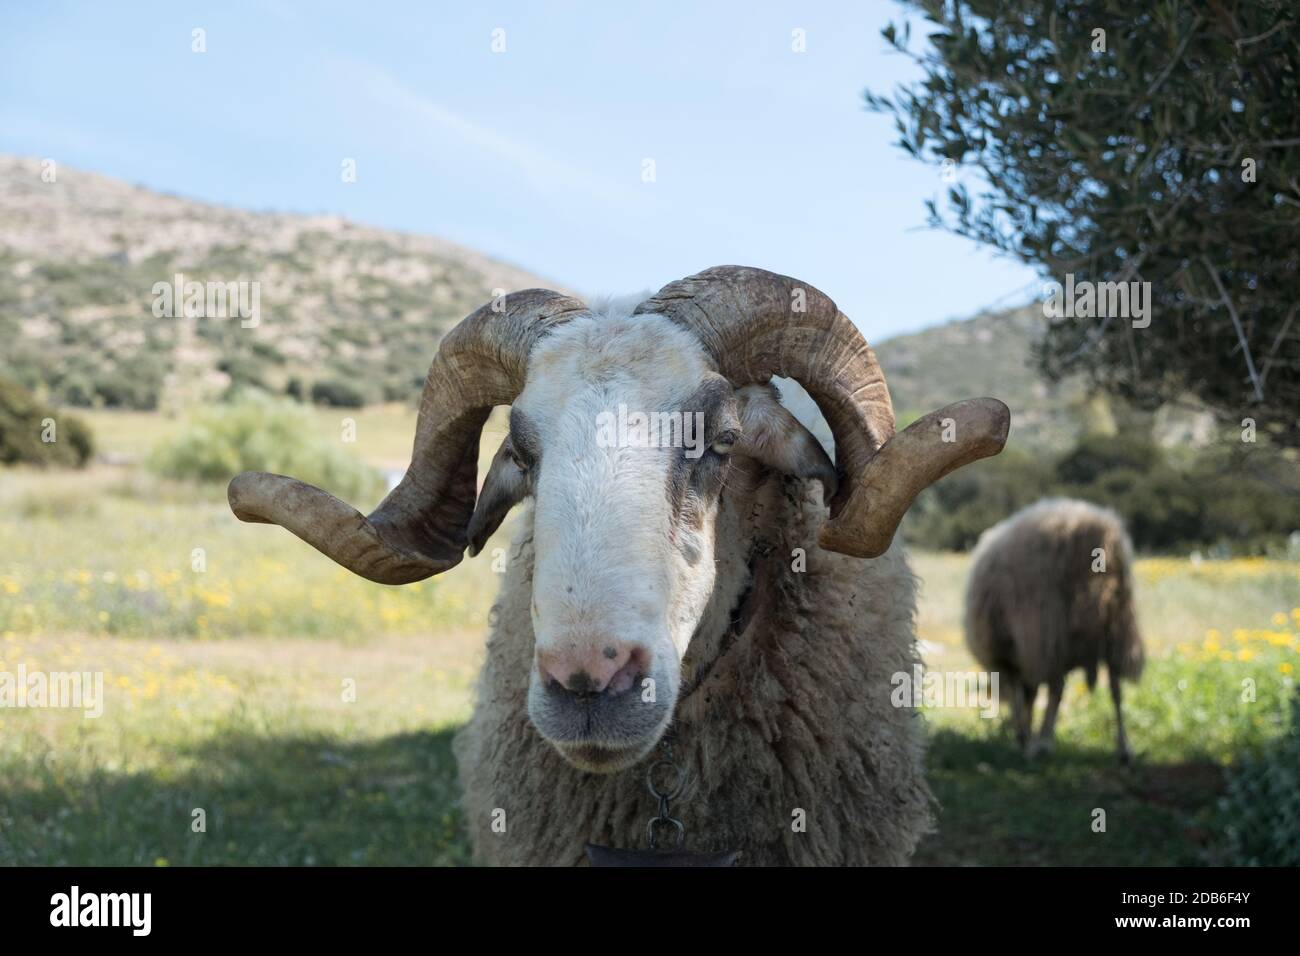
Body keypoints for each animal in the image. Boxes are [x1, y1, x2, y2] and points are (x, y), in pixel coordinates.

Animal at [961, 502, 1144, 764]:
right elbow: (1029, 696)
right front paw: (1026, 734)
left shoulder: (1012, 653)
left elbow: (1022, 698)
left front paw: (1024, 736)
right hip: (1118, 629)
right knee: (1115, 688)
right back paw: (1124, 749)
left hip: (1050, 631)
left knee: (1057, 689)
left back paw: (1042, 743)